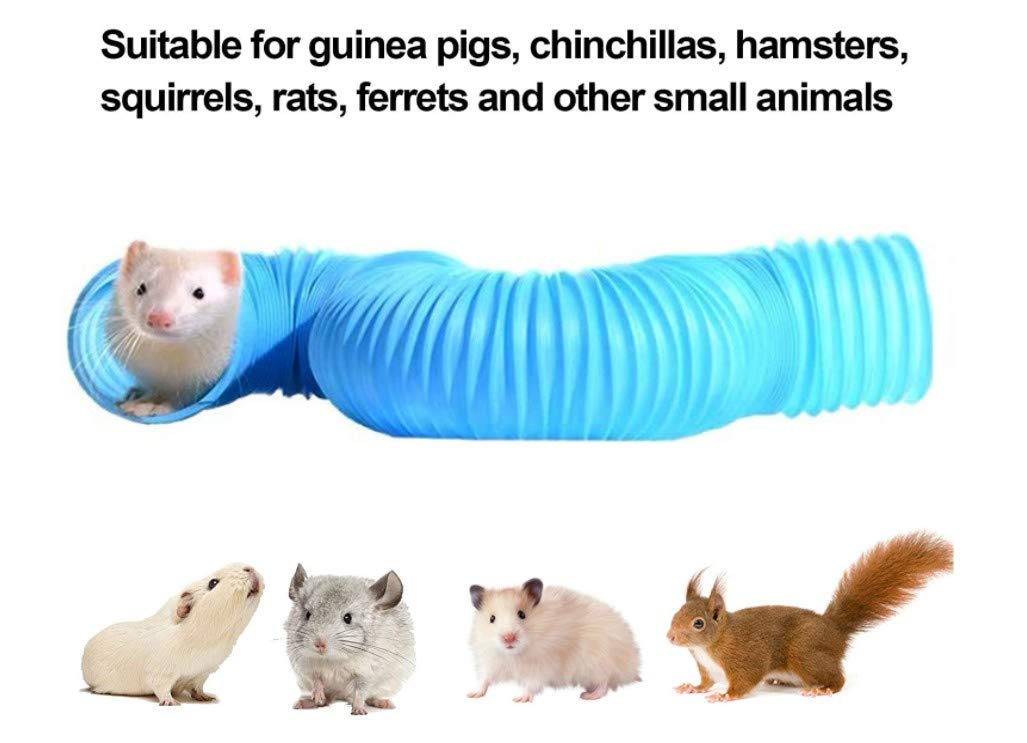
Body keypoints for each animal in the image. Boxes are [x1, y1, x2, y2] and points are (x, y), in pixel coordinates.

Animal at [82, 563, 263, 705]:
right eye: (213, 583)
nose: (249, 567)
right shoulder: (161, 673)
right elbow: (162, 688)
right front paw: (172, 703)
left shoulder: (202, 673)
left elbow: (197, 688)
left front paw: (207, 698)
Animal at [106, 240, 242, 416]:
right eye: (140, 288)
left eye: (199, 292)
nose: (159, 317)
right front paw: (137, 401)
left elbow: (183, 399)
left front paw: (156, 407)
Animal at [286, 565, 416, 715]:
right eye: (307, 614)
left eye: (348, 618)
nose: (319, 644)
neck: (333, 659)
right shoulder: (307, 667)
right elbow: (316, 680)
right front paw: (318, 697)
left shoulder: (367, 672)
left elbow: (360, 690)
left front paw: (358, 710)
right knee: (328, 698)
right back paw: (308, 702)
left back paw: (382, 703)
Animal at [467, 578, 641, 703]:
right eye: (491, 618)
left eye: (522, 614)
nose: (508, 637)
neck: (514, 654)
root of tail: (632, 667)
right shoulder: (491, 661)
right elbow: (485, 679)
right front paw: (473, 694)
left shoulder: (541, 666)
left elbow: (531, 684)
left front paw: (519, 699)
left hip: (598, 662)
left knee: (605, 682)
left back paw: (587, 696)